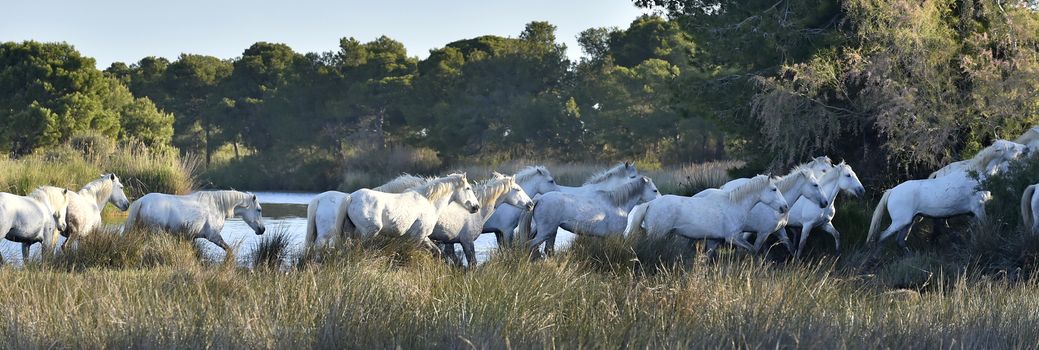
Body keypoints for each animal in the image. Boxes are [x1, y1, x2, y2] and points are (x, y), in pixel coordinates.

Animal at [125, 189, 265, 257]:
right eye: (259, 210)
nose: (262, 229)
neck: (217, 206)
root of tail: (142, 201)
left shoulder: (191, 238)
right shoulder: (214, 236)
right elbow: (229, 250)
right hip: (154, 232)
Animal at [334, 173, 480, 253]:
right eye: (468, 188)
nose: (476, 207)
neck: (429, 202)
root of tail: (351, 197)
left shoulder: (423, 236)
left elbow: (437, 251)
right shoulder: (417, 236)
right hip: (367, 233)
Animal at [517, 175, 660, 257]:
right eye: (654, 190)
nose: (661, 199)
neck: (617, 205)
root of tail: (539, 199)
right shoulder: (616, 235)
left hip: (548, 232)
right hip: (545, 232)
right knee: (530, 245)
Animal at [623, 175, 785, 252]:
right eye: (774, 189)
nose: (785, 207)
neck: (734, 204)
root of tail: (650, 204)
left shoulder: (715, 240)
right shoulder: (733, 238)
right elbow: (752, 250)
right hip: (657, 235)